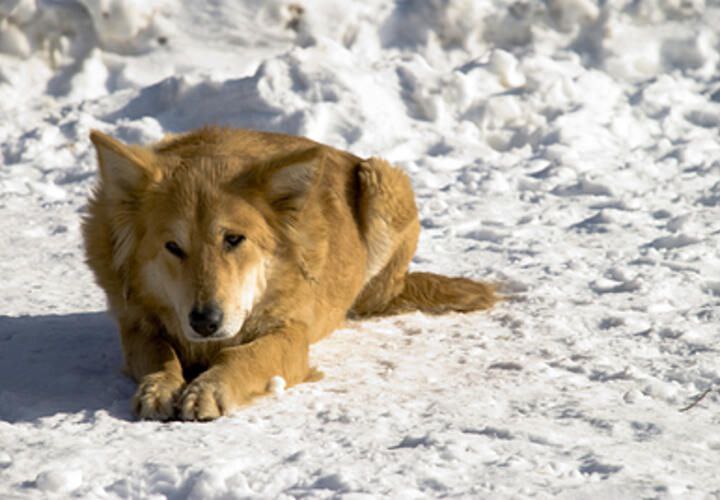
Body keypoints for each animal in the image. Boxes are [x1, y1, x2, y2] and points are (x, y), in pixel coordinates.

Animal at [81, 127, 498, 420]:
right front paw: (160, 387)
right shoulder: (137, 323)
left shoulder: (290, 334)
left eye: (234, 239)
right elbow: (159, 352)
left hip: (384, 180)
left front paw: (208, 389)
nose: (204, 321)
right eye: (173, 247)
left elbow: (245, 356)